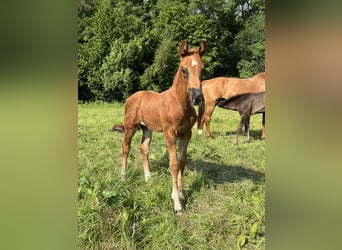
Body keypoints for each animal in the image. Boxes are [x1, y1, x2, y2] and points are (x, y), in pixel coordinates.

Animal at [113, 40, 207, 213]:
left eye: (202, 69)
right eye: (184, 69)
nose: (197, 97)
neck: (180, 103)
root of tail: (132, 97)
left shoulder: (186, 133)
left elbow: (182, 161)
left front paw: (182, 194)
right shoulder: (169, 133)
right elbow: (174, 164)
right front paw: (177, 203)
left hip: (147, 128)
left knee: (144, 149)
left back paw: (148, 178)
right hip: (130, 126)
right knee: (125, 148)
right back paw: (123, 176)